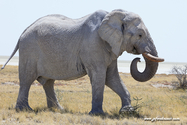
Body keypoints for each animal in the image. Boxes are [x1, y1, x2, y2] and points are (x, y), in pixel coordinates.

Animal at [2, 8, 164, 114]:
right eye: (140, 35)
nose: (138, 59)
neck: (115, 15)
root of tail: (23, 32)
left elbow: (111, 77)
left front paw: (127, 112)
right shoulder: (93, 45)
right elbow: (100, 76)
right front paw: (98, 114)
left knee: (48, 82)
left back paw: (58, 110)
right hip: (29, 50)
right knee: (27, 79)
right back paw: (24, 110)